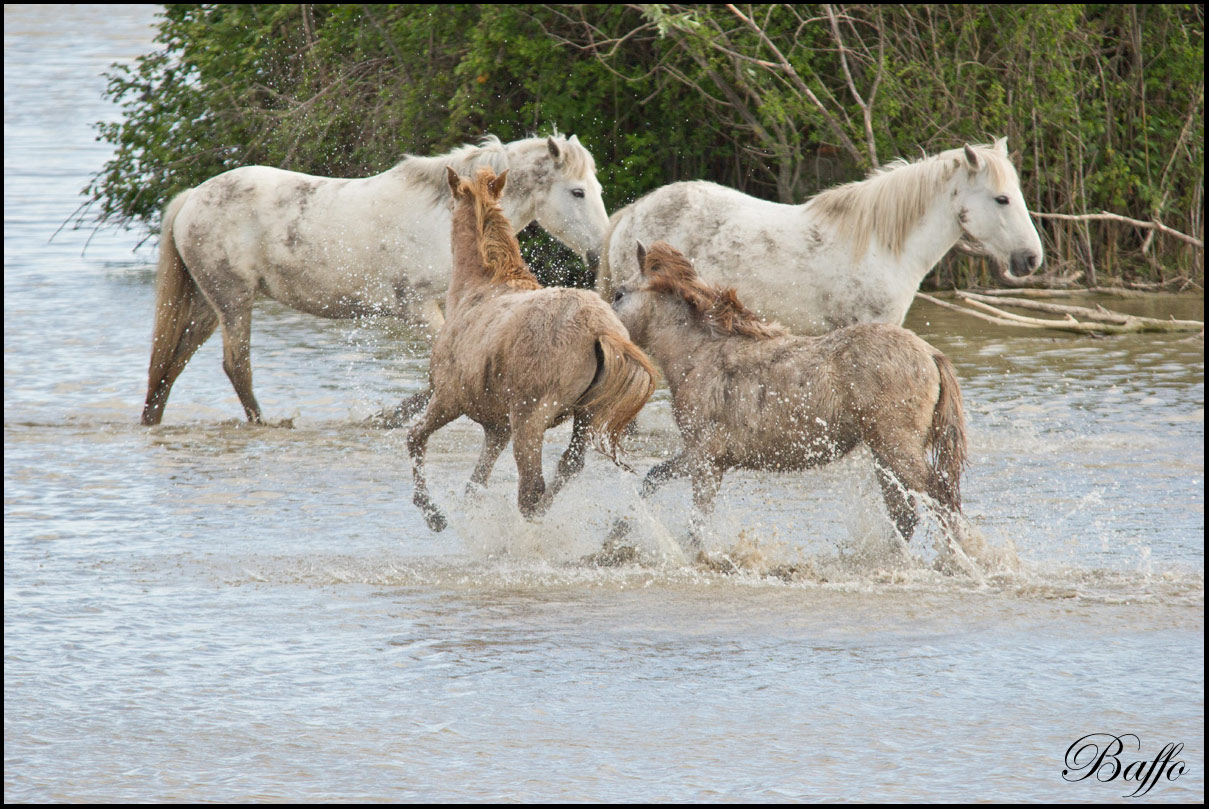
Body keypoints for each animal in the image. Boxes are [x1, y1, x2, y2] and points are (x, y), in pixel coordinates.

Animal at [141, 134, 609, 423]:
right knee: (235, 365)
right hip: (233, 300)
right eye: (577, 192)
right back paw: (267, 423)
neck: (441, 219)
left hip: (210, 304)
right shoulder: (416, 308)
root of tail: (192, 198)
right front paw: (382, 418)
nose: (600, 254)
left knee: (173, 361)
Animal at [406, 166, 652, 527]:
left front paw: (432, 514)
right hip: (584, 417)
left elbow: (415, 438)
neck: (479, 289)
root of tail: (601, 330)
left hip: (530, 420)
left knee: (531, 489)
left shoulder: (447, 400)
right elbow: (474, 484)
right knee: (566, 468)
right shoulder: (496, 428)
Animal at [609, 239, 967, 541]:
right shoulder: (702, 457)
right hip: (884, 455)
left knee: (939, 499)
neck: (700, 356)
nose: (608, 332)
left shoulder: (705, 459)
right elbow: (653, 477)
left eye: (618, 294)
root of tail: (929, 353)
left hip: (897, 447)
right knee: (906, 514)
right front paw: (617, 534)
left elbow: (695, 523)